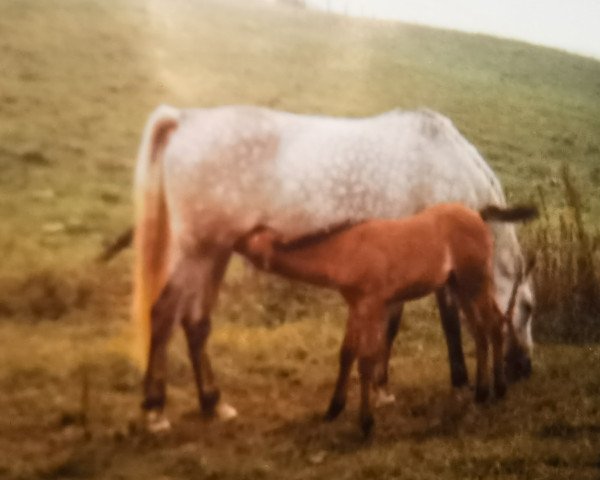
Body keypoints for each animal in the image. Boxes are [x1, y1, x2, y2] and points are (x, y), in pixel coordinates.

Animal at [237, 202, 536, 436]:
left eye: (248, 237)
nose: (229, 243)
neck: (346, 250)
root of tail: (478, 214)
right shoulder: (357, 307)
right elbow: (347, 354)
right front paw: (333, 409)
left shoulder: (373, 306)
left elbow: (366, 361)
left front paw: (366, 423)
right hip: (459, 285)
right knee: (480, 330)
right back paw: (481, 393)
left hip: (475, 282)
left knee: (494, 324)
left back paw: (498, 390)